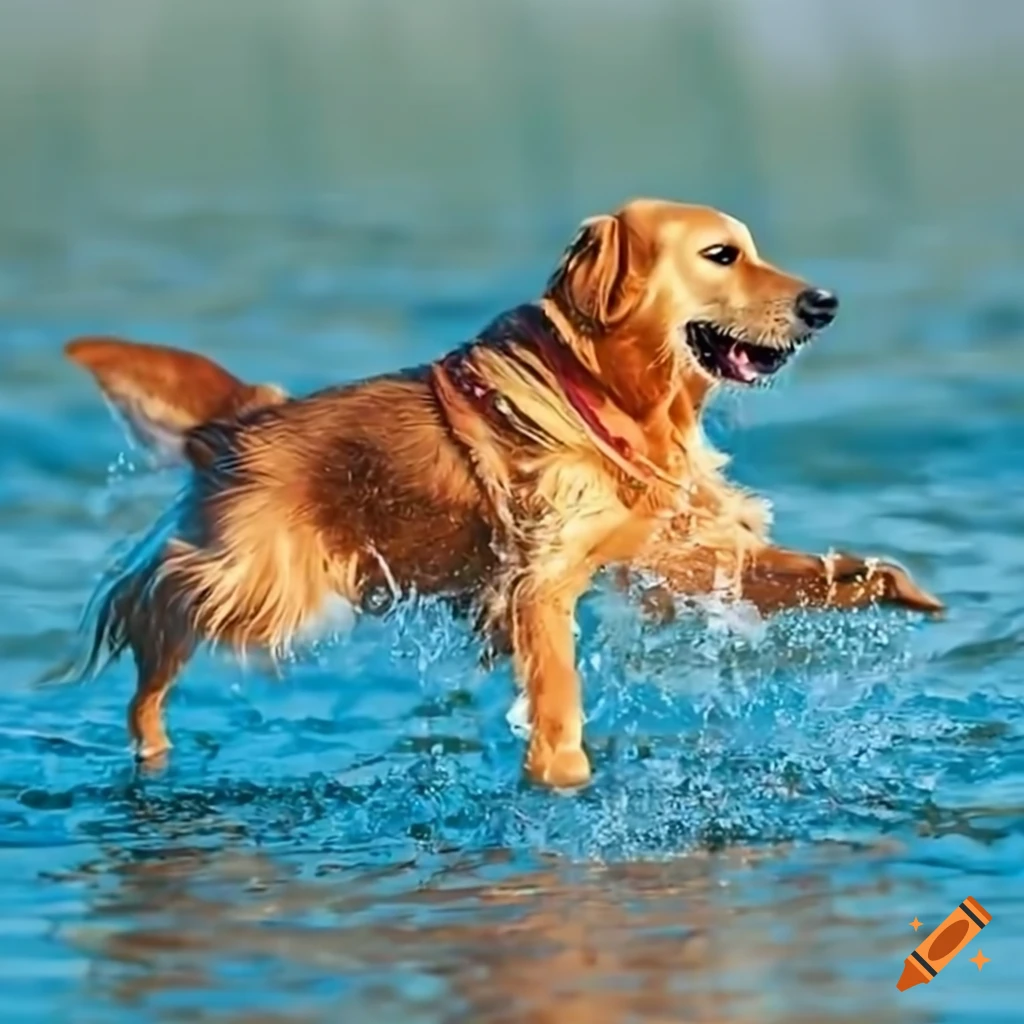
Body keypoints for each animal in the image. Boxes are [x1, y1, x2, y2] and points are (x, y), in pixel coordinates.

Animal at [56, 201, 937, 790]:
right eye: (722, 254)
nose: (825, 303)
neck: (604, 394)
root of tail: (248, 415)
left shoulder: (674, 551)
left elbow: (791, 571)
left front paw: (891, 584)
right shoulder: (539, 577)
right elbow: (557, 688)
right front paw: (563, 774)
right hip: (262, 582)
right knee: (153, 592)